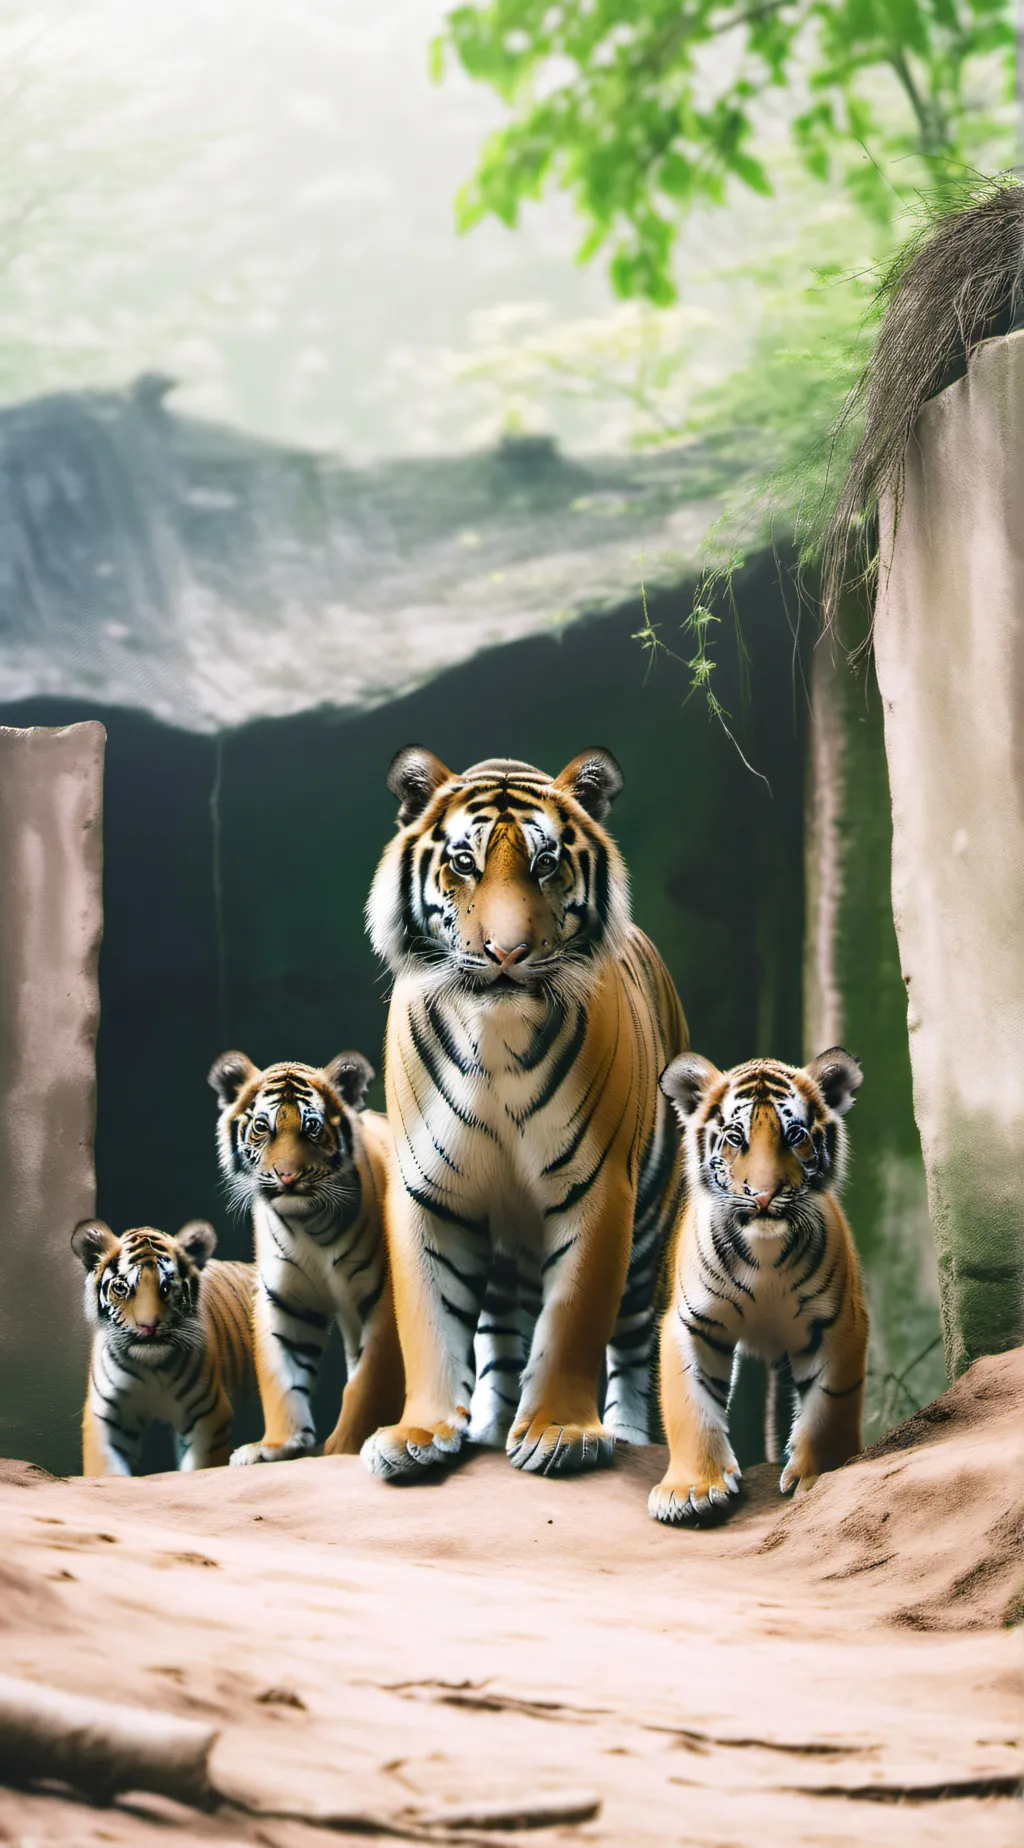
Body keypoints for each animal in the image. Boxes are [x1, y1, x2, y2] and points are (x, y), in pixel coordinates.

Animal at [71, 1218, 254, 1476]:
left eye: (167, 1287)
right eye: (121, 1288)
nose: (148, 1326)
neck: (151, 1366)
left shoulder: (208, 1415)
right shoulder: (107, 1419)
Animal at [208, 1049, 403, 1464]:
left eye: (312, 1128)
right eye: (262, 1127)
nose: (287, 1177)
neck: (309, 1224)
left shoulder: (383, 1297)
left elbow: (368, 1381)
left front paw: (342, 1447)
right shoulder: (286, 1301)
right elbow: (282, 1376)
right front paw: (276, 1445)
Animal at [362, 745, 689, 1482]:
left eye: (546, 864)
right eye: (463, 862)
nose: (506, 954)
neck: (497, 1040)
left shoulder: (599, 1186)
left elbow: (573, 1319)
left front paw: (560, 1433)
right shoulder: (430, 1191)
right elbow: (430, 1318)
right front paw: (420, 1433)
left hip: (651, 1219)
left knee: (630, 1339)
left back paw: (626, 1433)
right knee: (497, 1334)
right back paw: (485, 1425)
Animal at [650, 1047, 869, 1524]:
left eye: (795, 1135)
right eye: (735, 1138)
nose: (765, 1195)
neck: (764, 1252)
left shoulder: (838, 1322)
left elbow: (831, 1403)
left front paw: (820, 1476)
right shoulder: (691, 1323)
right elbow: (691, 1403)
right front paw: (691, 1491)